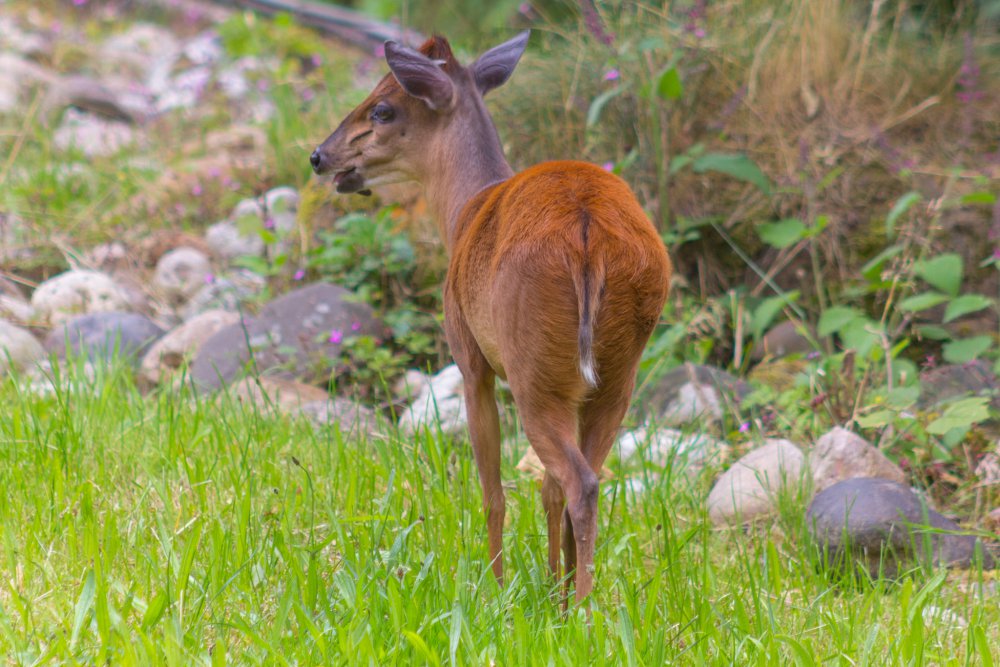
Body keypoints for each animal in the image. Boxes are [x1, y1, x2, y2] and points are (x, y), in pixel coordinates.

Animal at [310, 32, 672, 604]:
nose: (319, 156)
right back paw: (575, 596)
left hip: (534, 366)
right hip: (616, 373)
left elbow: (492, 489)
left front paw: (497, 588)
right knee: (577, 478)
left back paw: (583, 608)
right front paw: (550, 588)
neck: (464, 210)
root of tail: (589, 234)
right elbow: (541, 489)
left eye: (382, 107)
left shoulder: (471, 360)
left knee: (579, 482)